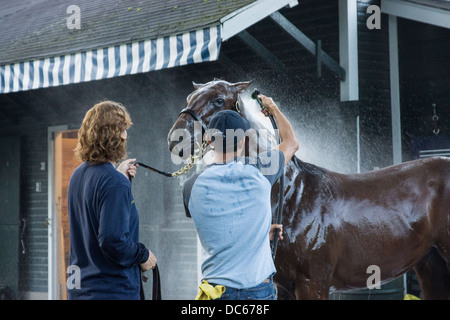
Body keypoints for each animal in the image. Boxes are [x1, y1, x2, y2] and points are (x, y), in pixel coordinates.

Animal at [166, 79, 450, 298]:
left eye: (218, 99)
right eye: (190, 96)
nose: (176, 139)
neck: (291, 196)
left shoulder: (312, 283)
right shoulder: (284, 287)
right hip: (431, 265)